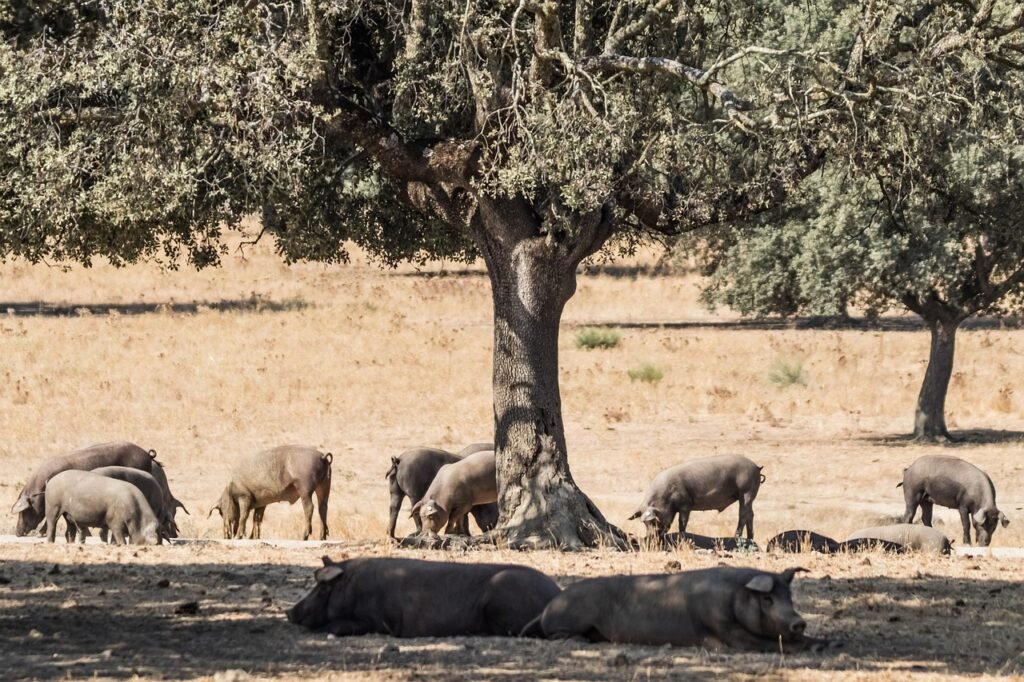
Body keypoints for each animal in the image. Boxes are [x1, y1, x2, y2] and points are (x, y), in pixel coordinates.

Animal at [531, 566, 832, 652]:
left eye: (788, 596)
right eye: (767, 599)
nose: (798, 622)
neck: (735, 597)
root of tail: (545, 609)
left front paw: (829, 642)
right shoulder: (723, 628)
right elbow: (762, 643)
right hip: (568, 620)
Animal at [629, 455, 764, 541]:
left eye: (653, 521)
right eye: (645, 524)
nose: (649, 537)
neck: (664, 497)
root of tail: (756, 467)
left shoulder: (685, 505)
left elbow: (682, 522)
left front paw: (682, 535)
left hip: (746, 491)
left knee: (743, 514)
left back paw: (737, 537)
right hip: (750, 495)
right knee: (751, 514)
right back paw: (750, 538)